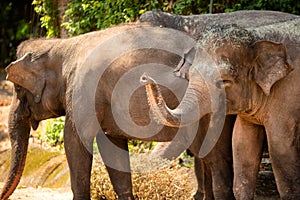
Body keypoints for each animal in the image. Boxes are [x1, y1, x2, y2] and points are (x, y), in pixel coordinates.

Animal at [0, 23, 237, 200]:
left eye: (18, 89)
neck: (61, 46)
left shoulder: (83, 90)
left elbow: (75, 142)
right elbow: (112, 147)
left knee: (212, 156)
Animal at [141, 19, 300, 200]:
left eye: (223, 82)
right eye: (190, 75)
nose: (145, 77)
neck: (256, 36)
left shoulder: (286, 100)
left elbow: (281, 151)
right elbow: (241, 143)